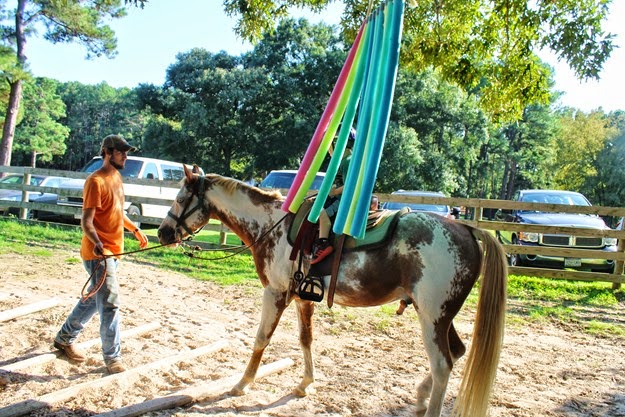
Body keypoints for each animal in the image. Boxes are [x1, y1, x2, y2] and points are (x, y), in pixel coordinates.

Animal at [156, 164, 508, 414]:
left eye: (180, 198)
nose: (162, 233)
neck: (272, 225)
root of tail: (466, 229)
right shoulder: (302, 297)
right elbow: (306, 339)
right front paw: (305, 384)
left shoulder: (276, 293)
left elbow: (261, 339)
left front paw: (242, 384)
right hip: (443, 317)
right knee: (456, 352)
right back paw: (420, 397)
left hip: (432, 319)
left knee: (442, 365)